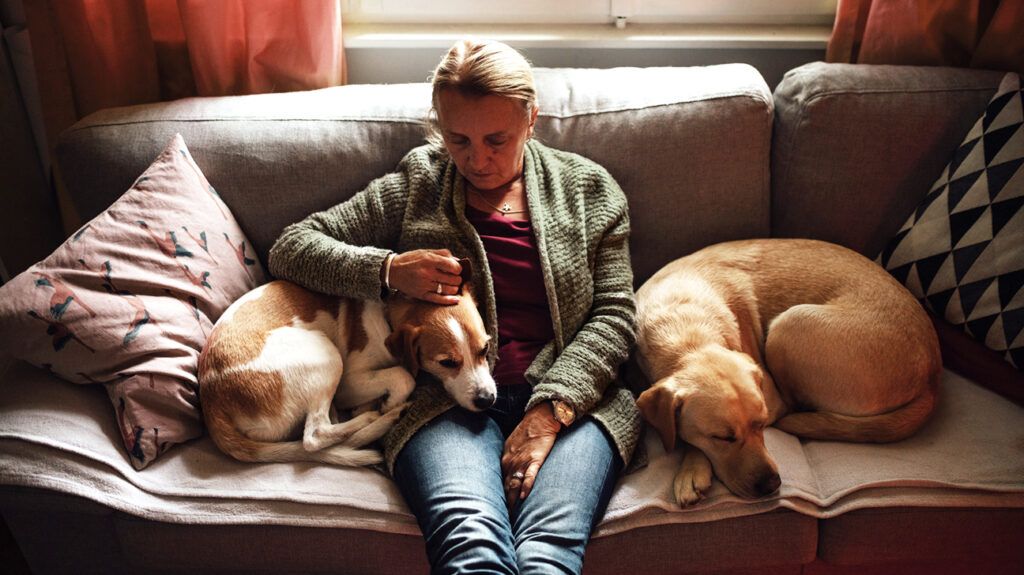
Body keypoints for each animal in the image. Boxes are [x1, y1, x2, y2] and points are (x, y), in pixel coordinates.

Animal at [198, 270, 495, 466]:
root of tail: (212, 401)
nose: (487, 400)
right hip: (326, 354)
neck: (387, 316)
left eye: (485, 349)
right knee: (314, 436)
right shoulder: (348, 384)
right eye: (447, 363)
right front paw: (390, 403)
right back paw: (375, 417)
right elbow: (402, 376)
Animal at [634, 239, 937, 503]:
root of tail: (932, 376)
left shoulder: (773, 399)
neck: (686, 332)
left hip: (789, 324)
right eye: (722, 438)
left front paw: (692, 469)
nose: (772, 484)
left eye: (761, 423)